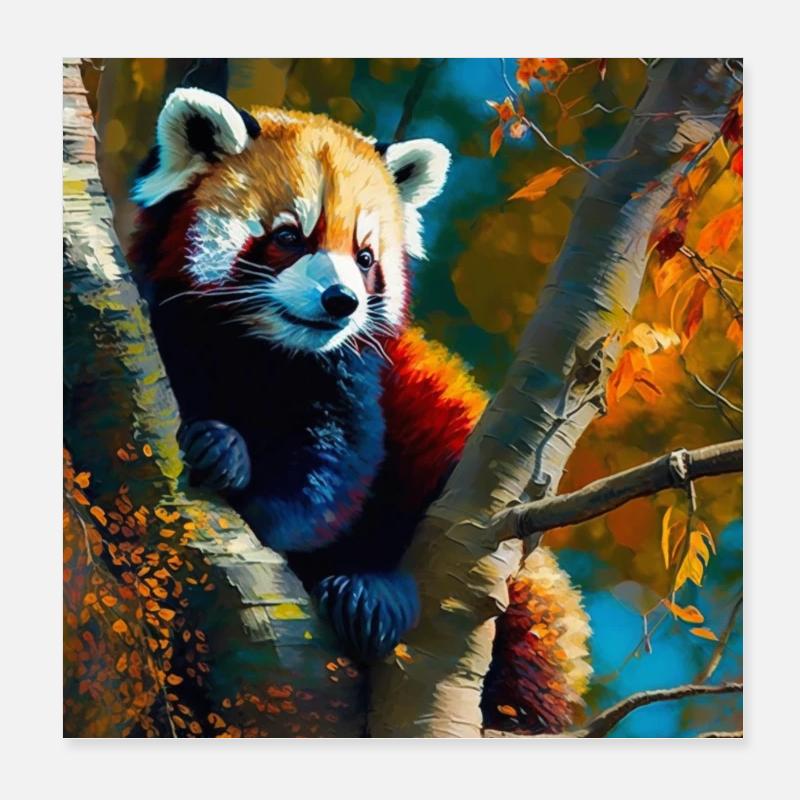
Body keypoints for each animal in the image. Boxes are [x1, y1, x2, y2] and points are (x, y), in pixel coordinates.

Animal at [129, 88, 591, 734]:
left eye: (365, 256)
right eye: (289, 236)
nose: (340, 301)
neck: (260, 351)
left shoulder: (354, 379)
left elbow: (330, 482)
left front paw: (248, 488)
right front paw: (222, 447)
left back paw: (376, 595)